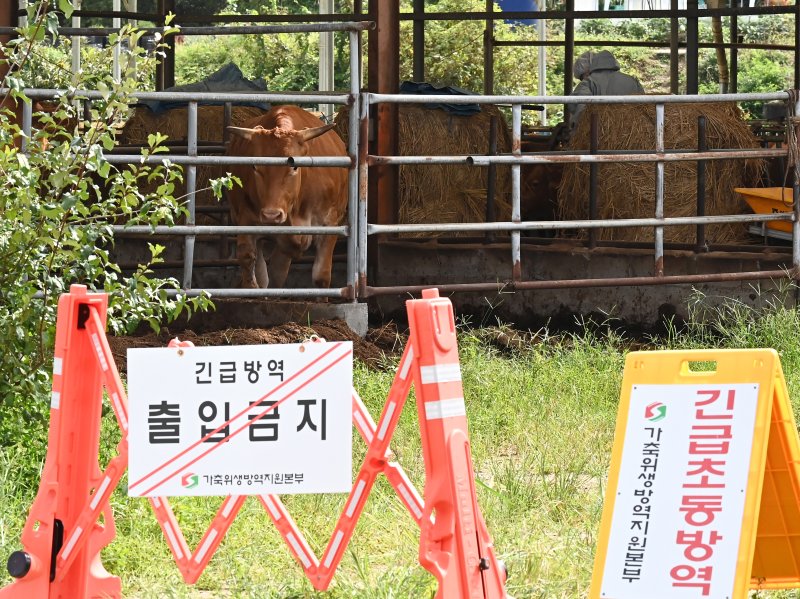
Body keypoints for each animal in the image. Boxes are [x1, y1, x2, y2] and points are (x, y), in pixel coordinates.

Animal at [227, 106, 348, 292]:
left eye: (295, 166)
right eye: (254, 166)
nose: (271, 215)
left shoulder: (330, 223)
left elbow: (321, 276)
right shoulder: (245, 216)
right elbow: (248, 257)